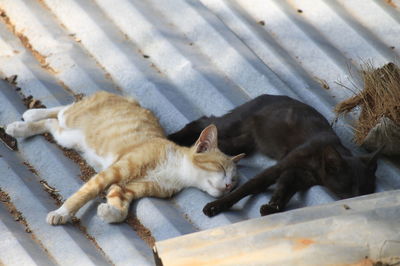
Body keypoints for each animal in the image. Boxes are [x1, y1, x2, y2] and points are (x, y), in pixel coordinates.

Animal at [6, 91, 244, 224]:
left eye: (235, 181)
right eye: (222, 169)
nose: (229, 186)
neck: (176, 170)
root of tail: (129, 100)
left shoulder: (127, 187)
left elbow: (119, 206)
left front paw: (109, 212)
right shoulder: (113, 172)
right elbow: (84, 194)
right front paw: (62, 213)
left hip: (68, 137)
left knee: (52, 124)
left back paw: (26, 123)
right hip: (72, 122)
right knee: (63, 110)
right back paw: (26, 118)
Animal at [168, 94, 382, 217]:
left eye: (366, 188)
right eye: (347, 186)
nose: (358, 198)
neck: (316, 166)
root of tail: (267, 94)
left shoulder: (296, 175)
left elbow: (284, 189)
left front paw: (272, 207)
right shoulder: (282, 166)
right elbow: (249, 186)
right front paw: (216, 206)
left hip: (243, 142)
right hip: (232, 123)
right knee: (203, 121)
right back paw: (173, 137)